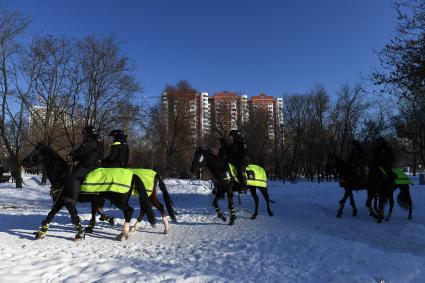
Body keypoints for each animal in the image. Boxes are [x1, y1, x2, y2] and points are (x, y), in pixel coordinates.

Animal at [21, 144, 156, 242]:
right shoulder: (61, 201)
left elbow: (72, 217)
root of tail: (133, 175)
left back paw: (123, 234)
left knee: (129, 211)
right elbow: (53, 215)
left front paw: (80, 234)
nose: (24, 161)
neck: (62, 174)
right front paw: (41, 232)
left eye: (35, 152)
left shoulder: (67, 200)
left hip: (118, 200)